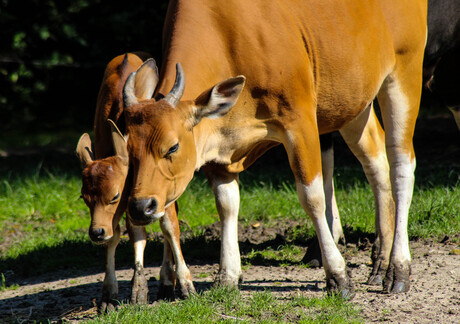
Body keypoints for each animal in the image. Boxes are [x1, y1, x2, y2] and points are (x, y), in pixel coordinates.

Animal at [123, 0, 428, 296]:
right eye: (128, 151)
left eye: (172, 147)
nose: (140, 207)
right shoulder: (217, 147)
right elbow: (226, 204)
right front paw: (228, 276)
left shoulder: (301, 123)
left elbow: (312, 198)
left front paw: (338, 276)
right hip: (352, 100)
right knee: (376, 162)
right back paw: (380, 262)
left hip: (404, 70)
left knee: (401, 165)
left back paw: (398, 268)